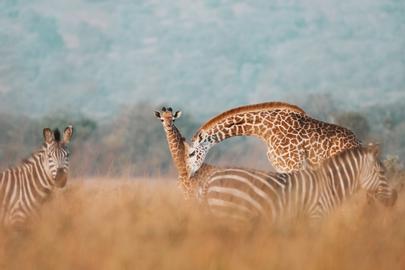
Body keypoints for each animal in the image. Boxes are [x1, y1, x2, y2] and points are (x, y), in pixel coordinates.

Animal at [185, 102, 358, 176]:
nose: (188, 173)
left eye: (191, 154)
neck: (265, 131)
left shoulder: (293, 166)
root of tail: (357, 142)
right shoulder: (282, 168)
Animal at [200, 144, 398, 225]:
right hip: (231, 215)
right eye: (382, 173)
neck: (330, 186)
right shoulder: (315, 217)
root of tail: (212, 178)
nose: (394, 201)